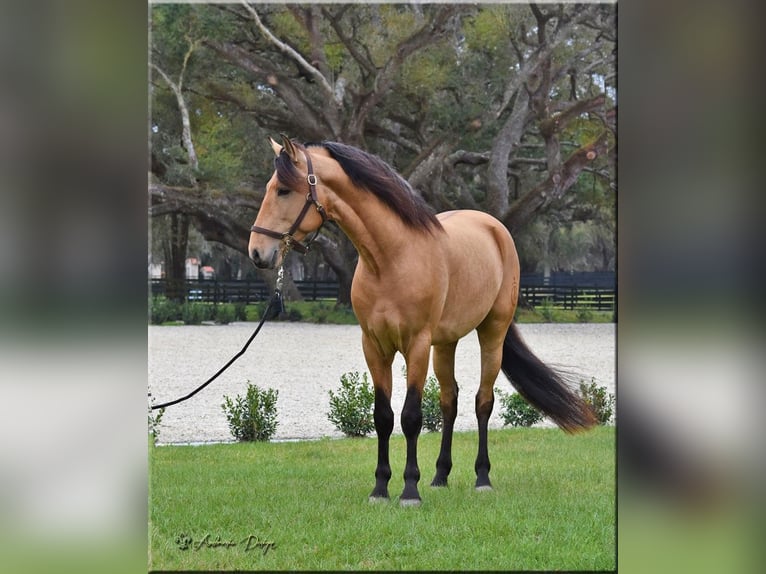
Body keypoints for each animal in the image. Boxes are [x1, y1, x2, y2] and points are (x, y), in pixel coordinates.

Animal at [249, 136, 596, 508]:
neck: (391, 259)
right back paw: (441, 476)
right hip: (445, 343)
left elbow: (411, 416)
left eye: (284, 190)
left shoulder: (416, 345)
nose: (257, 252)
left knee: (482, 402)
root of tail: (494, 228)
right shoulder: (375, 346)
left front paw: (409, 490)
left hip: (492, 332)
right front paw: (380, 488)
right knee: (449, 401)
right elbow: (383, 417)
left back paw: (482, 478)